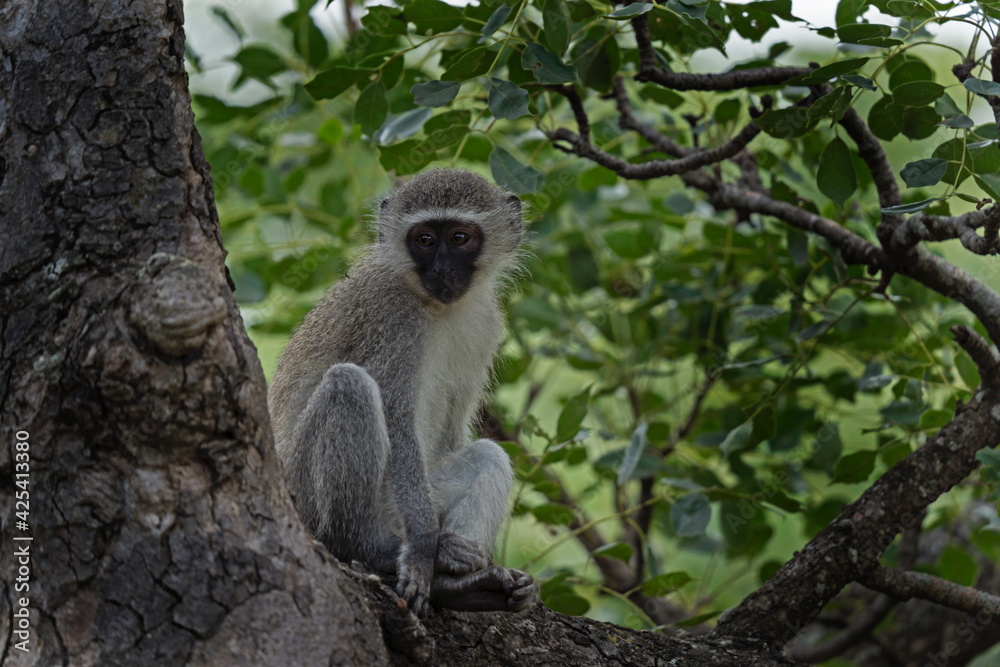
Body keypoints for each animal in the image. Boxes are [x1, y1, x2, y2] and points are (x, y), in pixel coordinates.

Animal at [268, 169, 538, 616]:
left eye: (460, 238)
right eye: (424, 239)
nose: (442, 269)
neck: (439, 306)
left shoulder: (486, 325)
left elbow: (452, 437)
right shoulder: (393, 318)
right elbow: (395, 418)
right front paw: (426, 546)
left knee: (488, 454)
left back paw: (461, 580)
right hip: (309, 499)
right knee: (350, 386)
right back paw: (369, 549)